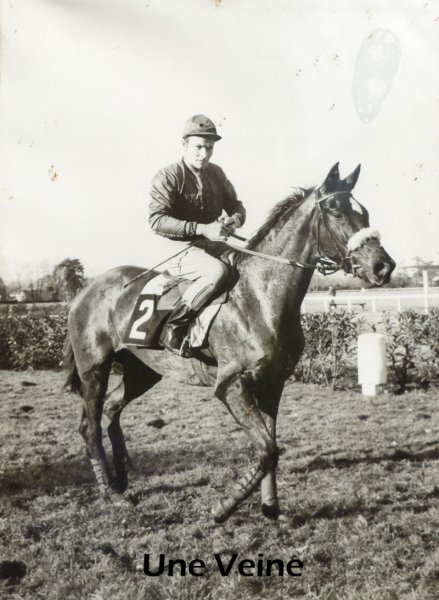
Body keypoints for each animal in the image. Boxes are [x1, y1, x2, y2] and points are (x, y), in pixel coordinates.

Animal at [64, 163, 395, 523]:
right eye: (336, 210)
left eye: (364, 212)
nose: (384, 266)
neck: (260, 296)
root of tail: (84, 291)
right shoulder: (231, 385)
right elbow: (267, 449)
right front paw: (223, 508)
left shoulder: (273, 383)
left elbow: (270, 446)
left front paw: (270, 507)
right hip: (94, 368)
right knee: (89, 427)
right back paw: (111, 494)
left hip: (143, 370)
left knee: (112, 409)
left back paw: (121, 479)